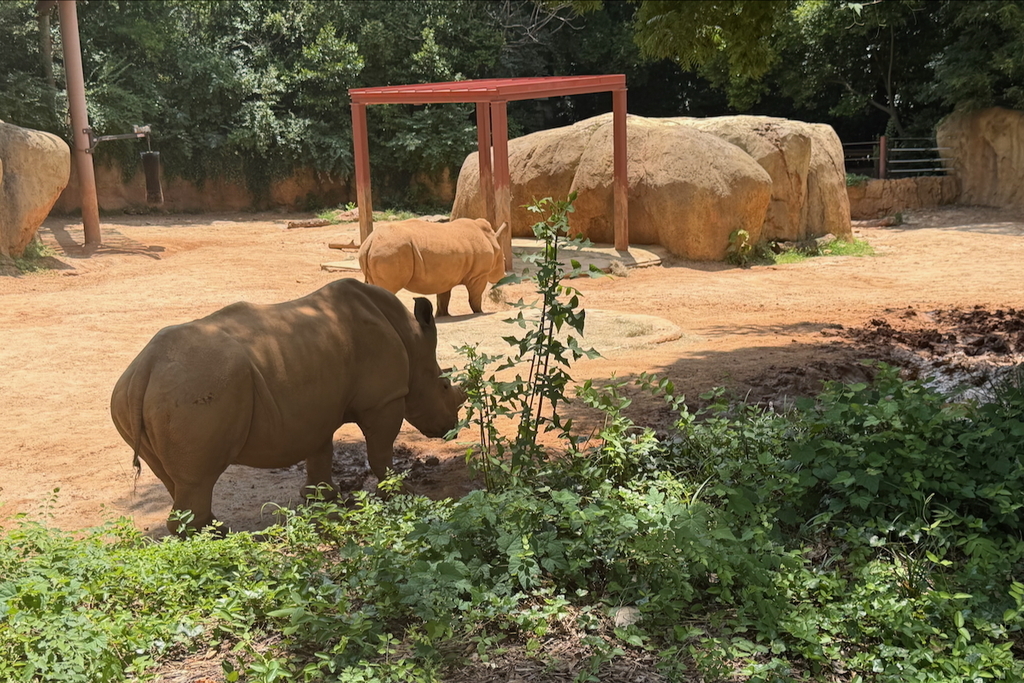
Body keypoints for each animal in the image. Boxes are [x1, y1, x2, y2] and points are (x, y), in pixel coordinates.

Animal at [110, 279, 466, 534]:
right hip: (197, 387)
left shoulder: (319, 407)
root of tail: (146, 369)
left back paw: (212, 529)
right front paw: (402, 493)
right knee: (197, 478)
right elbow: (380, 451)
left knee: (172, 476)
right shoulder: (384, 399)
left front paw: (322, 498)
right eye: (444, 385)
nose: (451, 428)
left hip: (130, 396)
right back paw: (213, 537)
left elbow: (320, 450)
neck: (411, 339)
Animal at [358, 218, 509, 317]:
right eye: (504, 260)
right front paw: (480, 312)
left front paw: (442, 315)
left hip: (379, 250)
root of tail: (370, 241)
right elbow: (475, 296)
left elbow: (443, 297)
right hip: (390, 251)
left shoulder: (446, 276)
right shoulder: (478, 275)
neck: (492, 240)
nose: (504, 276)